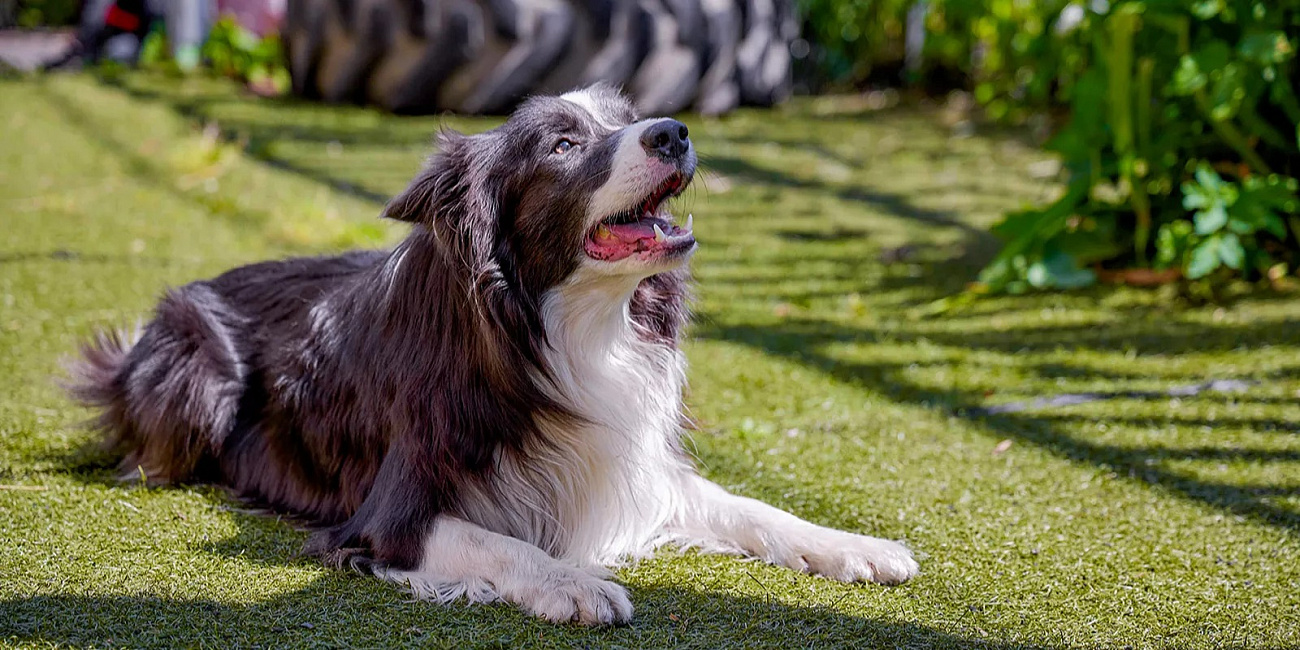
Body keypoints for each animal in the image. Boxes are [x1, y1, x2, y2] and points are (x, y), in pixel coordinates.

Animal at [65, 83, 920, 621]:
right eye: (564, 144)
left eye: (629, 116)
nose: (674, 131)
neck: (565, 327)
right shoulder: (389, 512)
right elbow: (493, 539)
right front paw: (571, 581)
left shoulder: (639, 466)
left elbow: (753, 508)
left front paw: (855, 545)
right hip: (196, 382)